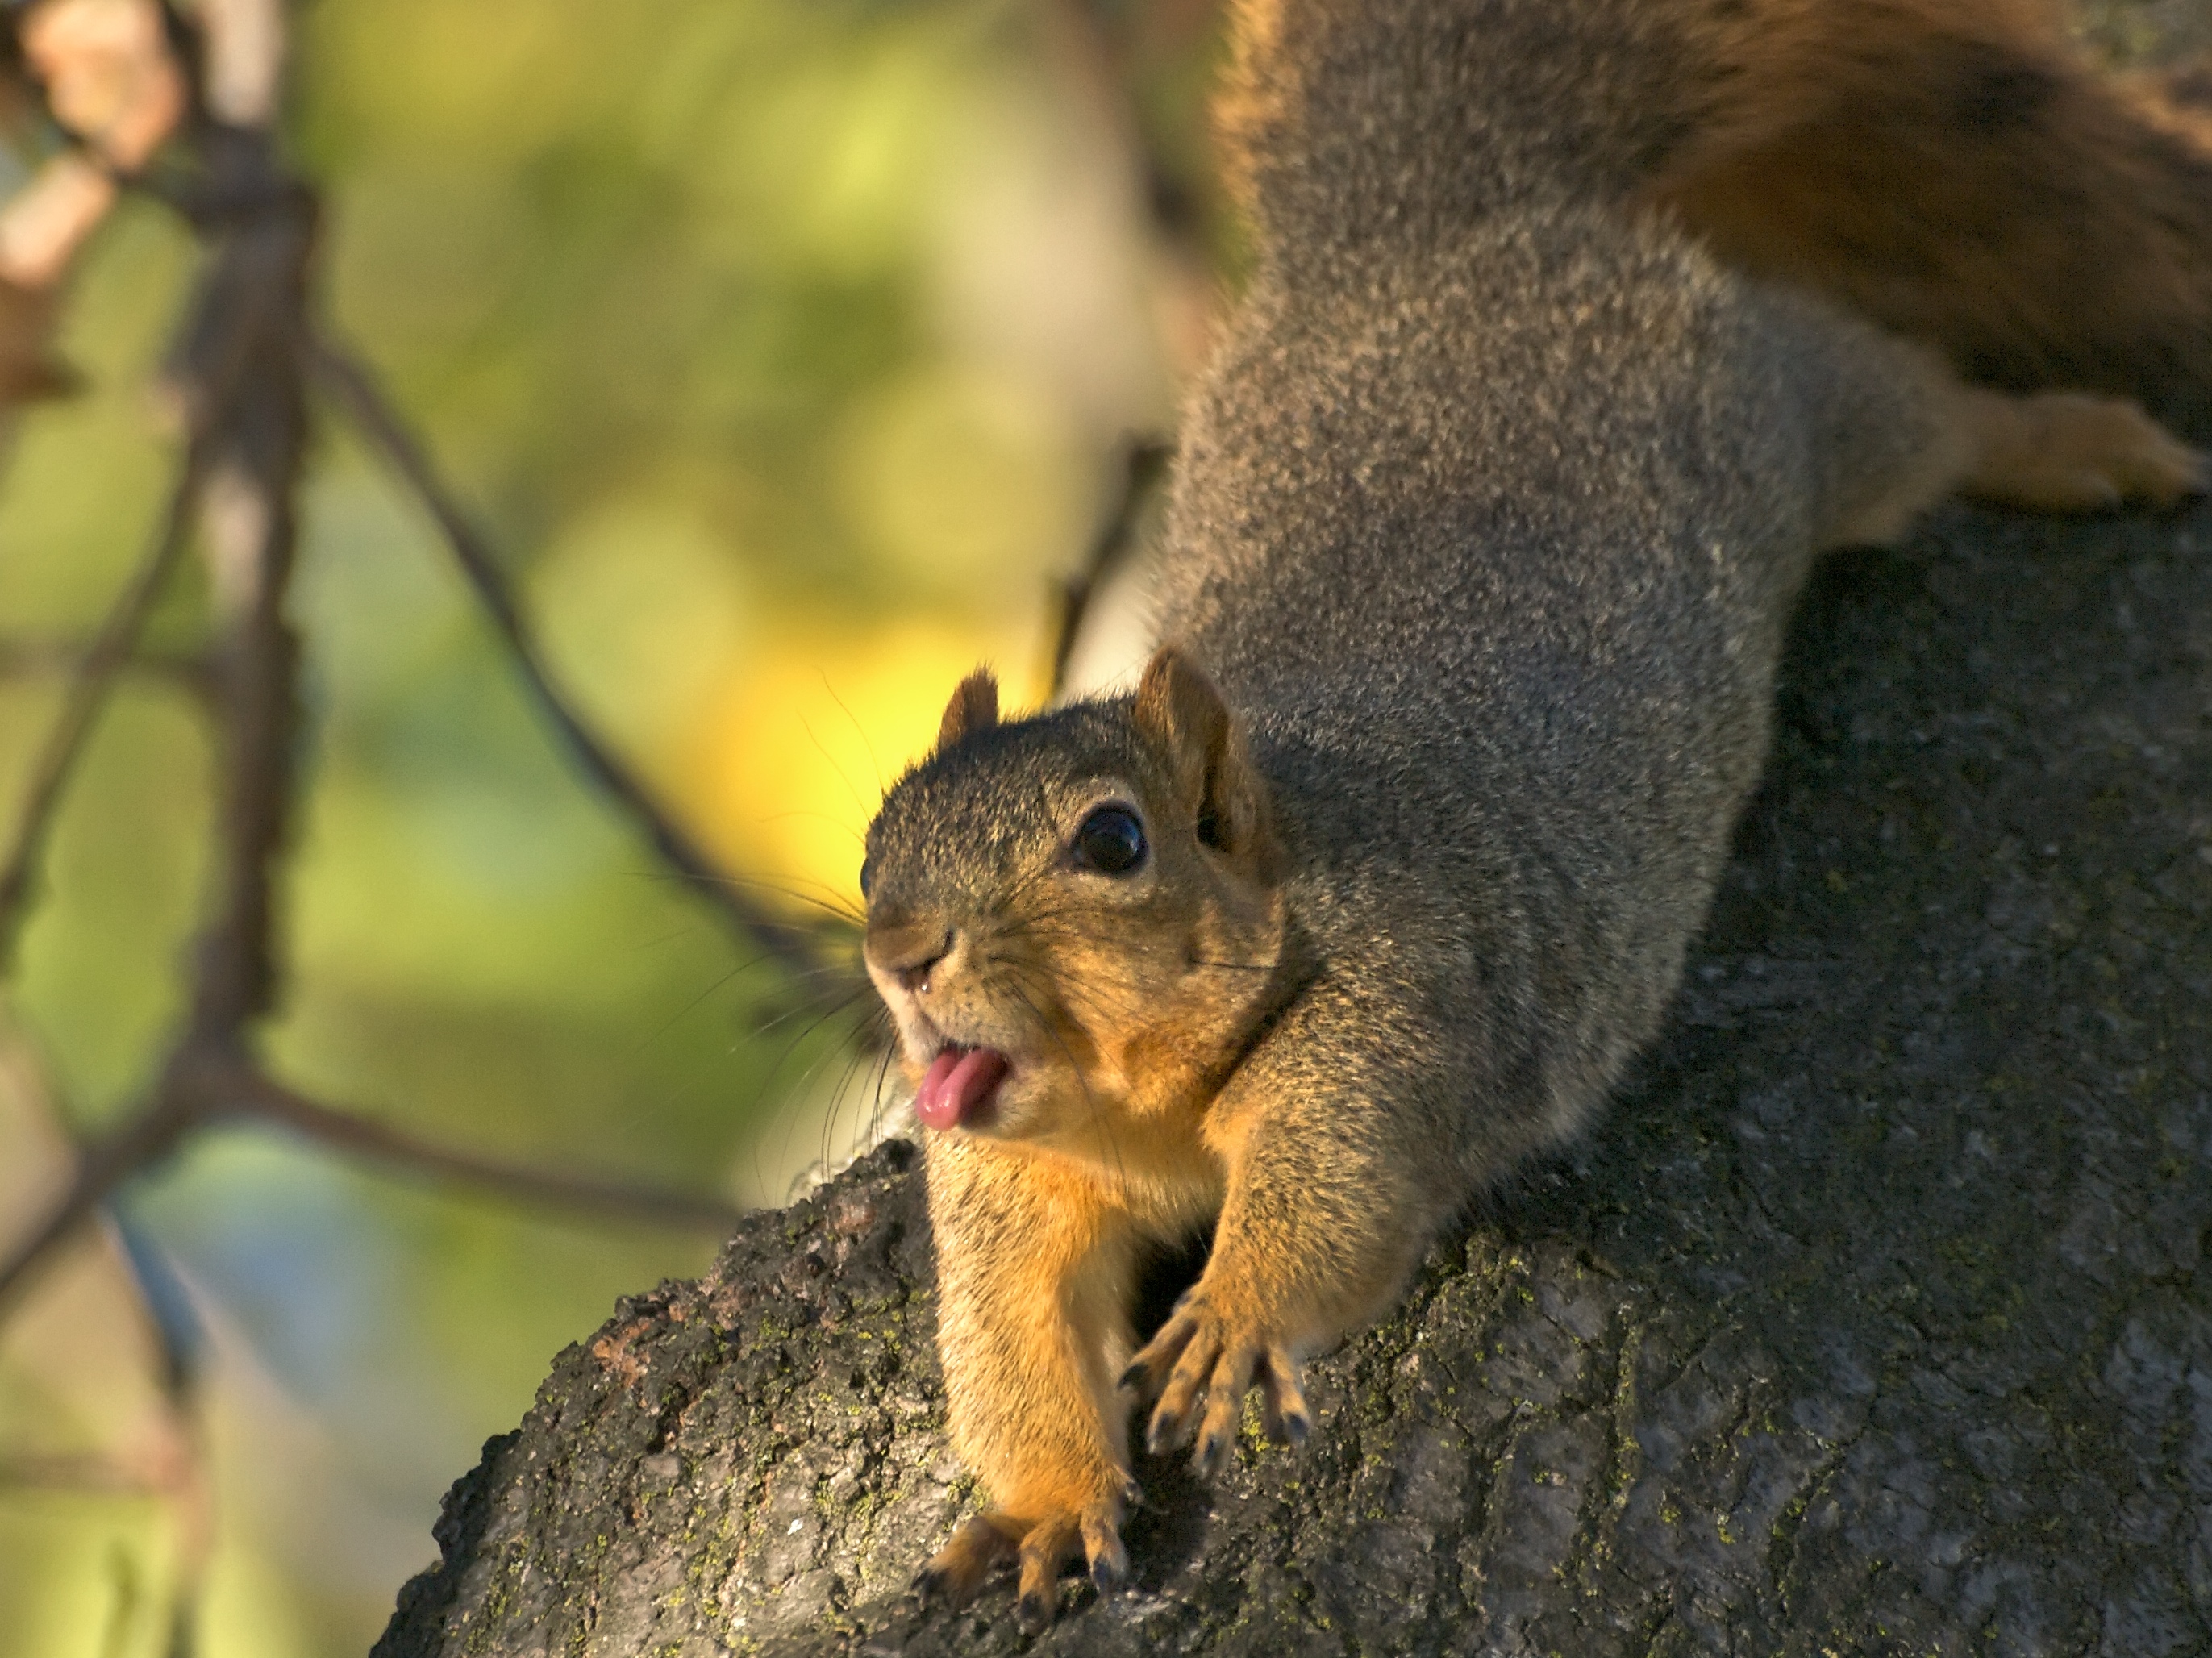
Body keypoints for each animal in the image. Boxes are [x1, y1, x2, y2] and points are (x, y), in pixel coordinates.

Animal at [849, 0, 2212, 1635]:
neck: (1139, 1108)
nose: (899, 951)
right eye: (871, 848)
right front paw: (1045, 1504)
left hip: (1784, 400)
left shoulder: (1405, 1011)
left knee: (1912, 407)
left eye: (1112, 842)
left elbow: (1339, 1198)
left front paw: (1233, 1314)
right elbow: (1010, 1346)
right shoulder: (1009, 1187)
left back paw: (2069, 442)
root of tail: (1435, 230)